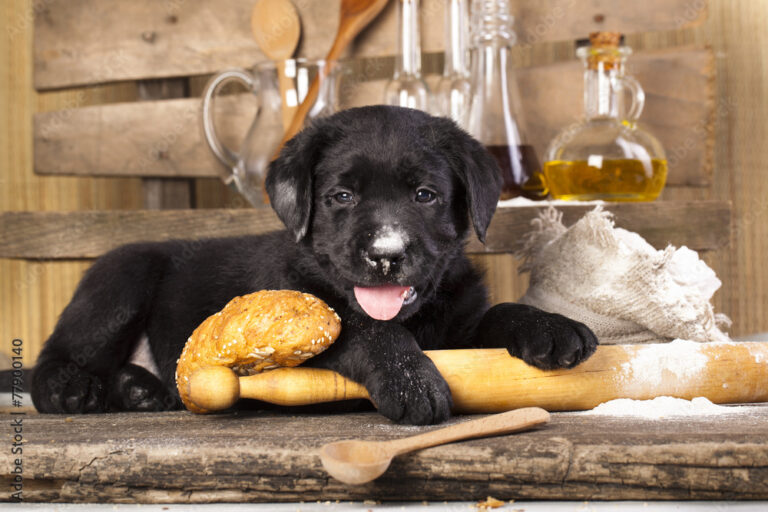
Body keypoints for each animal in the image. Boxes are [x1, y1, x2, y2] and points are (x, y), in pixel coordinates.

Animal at [30, 105, 596, 424]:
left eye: (425, 195)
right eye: (342, 196)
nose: (386, 255)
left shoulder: (460, 324)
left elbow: (496, 313)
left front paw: (549, 326)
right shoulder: (305, 320)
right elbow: (366, 329)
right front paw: (411, 380)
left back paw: (140, 389)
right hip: (121, 276)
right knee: (52, 361)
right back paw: (76, 389)